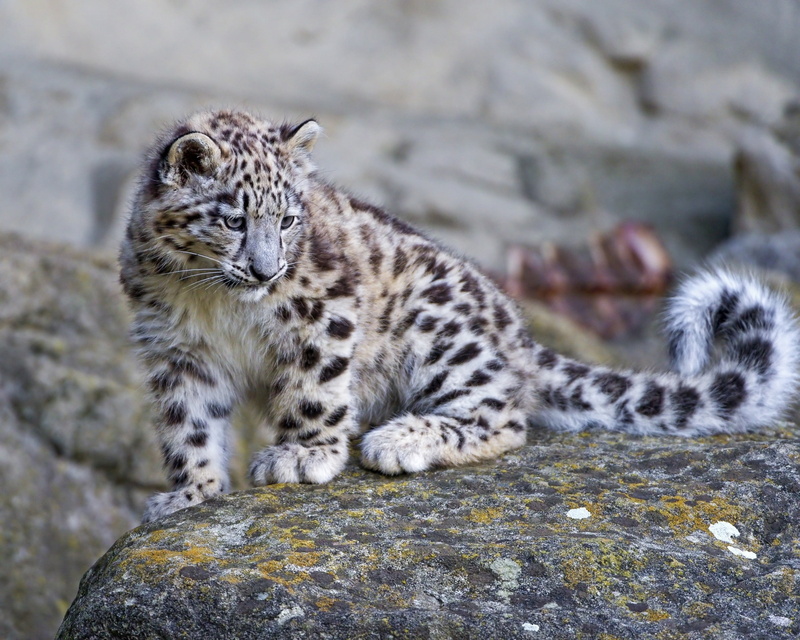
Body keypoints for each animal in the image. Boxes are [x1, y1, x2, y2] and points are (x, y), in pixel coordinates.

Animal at [119, 109, 800, 523]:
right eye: (235, 219)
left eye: (287, 219)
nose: (266, 271)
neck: (217, 302)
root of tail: (519, 334)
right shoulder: (177, 352)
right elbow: (189, 426)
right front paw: (190, 493)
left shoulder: (324, 311)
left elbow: (313, 390)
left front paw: (302, 455)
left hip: (438, 331)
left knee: (503, 417)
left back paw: (398, 439)